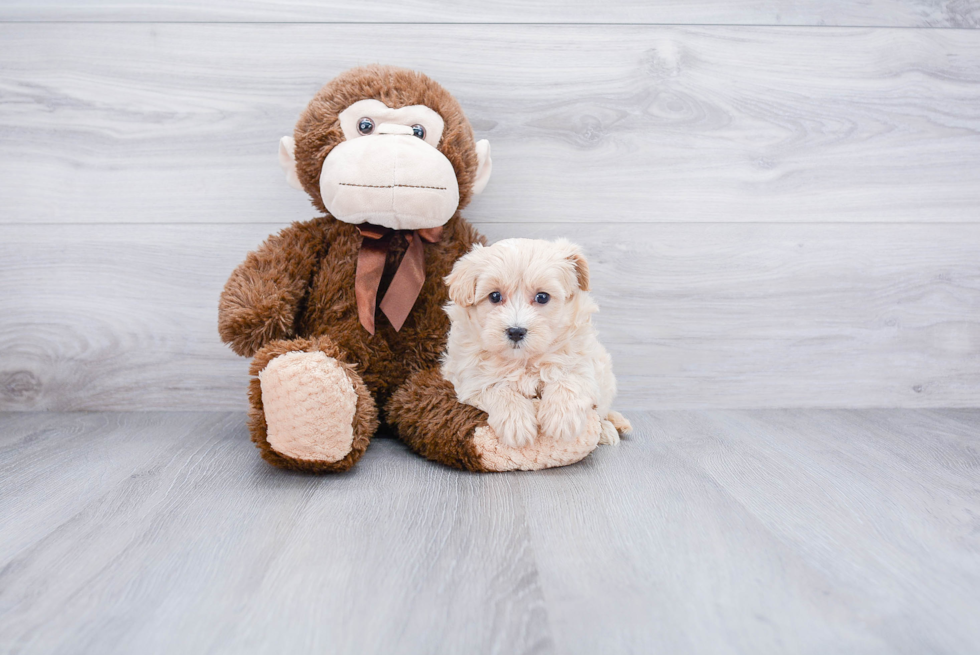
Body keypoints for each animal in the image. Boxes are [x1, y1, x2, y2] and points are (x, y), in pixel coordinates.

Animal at [442, 238, 632, 448]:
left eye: (542, 297)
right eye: (495, 296)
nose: (516, 331)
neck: (523, 360)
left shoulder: (583, 364)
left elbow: (569, 378)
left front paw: (562, 418)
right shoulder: (470, 380)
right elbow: (497, 389)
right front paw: (516, 423)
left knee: (602, 411)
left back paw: (606, 429)